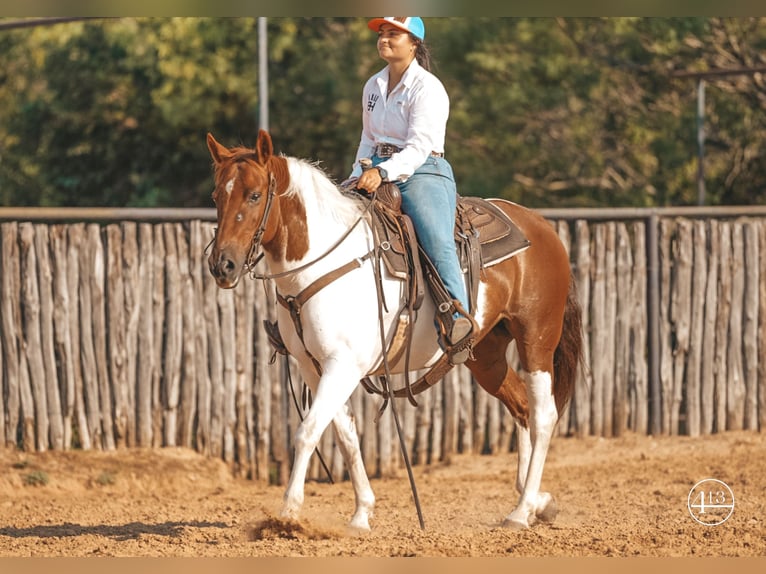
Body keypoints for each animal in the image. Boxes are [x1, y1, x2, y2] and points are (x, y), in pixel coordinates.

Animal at [204, 129, 584, 532]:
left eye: (255, 195)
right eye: (216, 196)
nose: (222, 265)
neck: (320, 263)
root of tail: (542, 227)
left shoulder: (343, 365)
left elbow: (309, 430)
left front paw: (288, 513)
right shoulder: (312, 365)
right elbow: (345, 433)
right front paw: (361, 513)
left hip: (536, 339)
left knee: (543, 415)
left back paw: (522, 510)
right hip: (485, 356)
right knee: (522, 406)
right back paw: (536, 501)